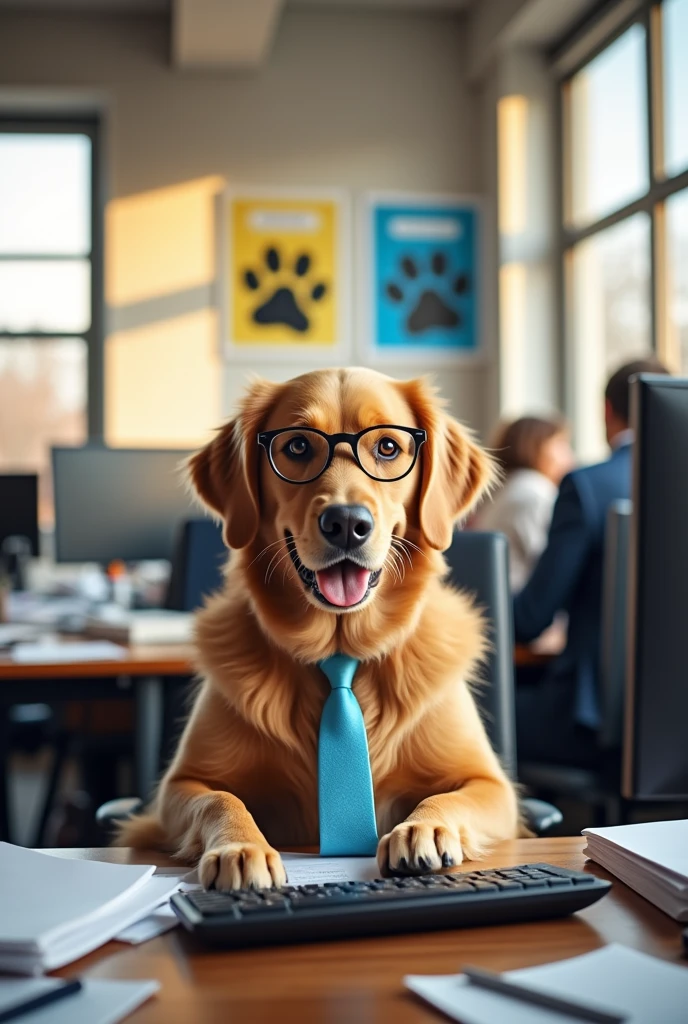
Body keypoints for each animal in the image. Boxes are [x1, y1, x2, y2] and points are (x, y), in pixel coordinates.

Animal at [120, 368, 518, 888]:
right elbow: (220, 800)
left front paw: (424, 828)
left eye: (387, 447)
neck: (339, 654)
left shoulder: (492, 784)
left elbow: (448, 796)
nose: (346, 522)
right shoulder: (178, 787)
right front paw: (241, 848)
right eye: (296, 446)